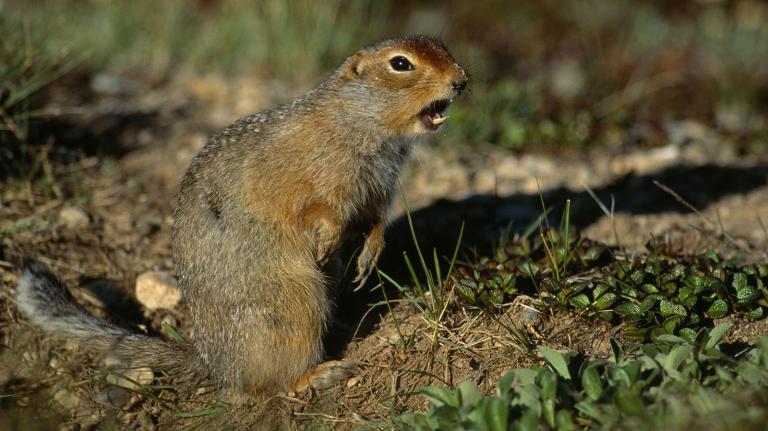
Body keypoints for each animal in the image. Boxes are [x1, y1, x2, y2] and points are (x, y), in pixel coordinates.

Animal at [15, 35, 468, 399]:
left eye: (444, 48)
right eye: (401, 64)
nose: (462, 80)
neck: (360, 122)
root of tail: (212, 365)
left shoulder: (380, 186)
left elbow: (373, 220)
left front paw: (368, 256)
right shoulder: (318, 178)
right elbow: (316, 207)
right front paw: (327, 241)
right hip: (294, 306)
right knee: (268, 386)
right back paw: (320, 374)